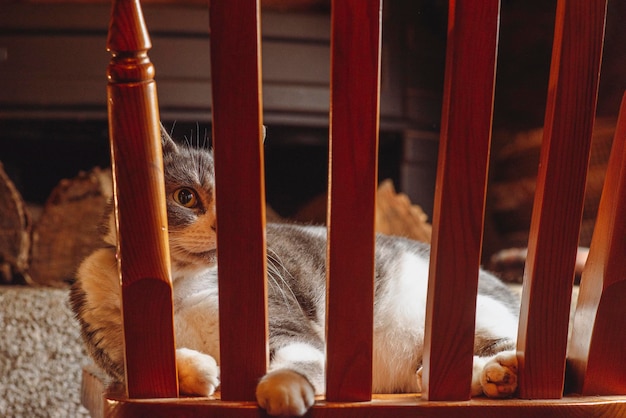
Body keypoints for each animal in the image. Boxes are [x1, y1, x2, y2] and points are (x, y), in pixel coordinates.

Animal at [69, 129, 516, 416]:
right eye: (186, 197)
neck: (179, 286)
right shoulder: (111, 343)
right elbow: (143, 367)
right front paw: (198, 369)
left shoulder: (287, 325)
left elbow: (295, 359)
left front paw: (280, 389)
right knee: (438, 375)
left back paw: (504, 371)